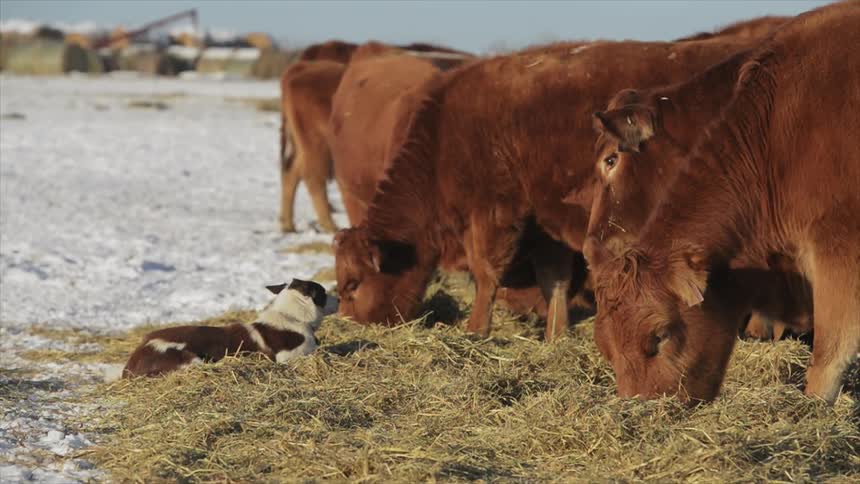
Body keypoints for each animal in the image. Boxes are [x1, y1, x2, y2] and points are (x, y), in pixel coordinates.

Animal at [334, 35, 769, 342]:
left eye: (352, 284)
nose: (350, 323)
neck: (444, 136)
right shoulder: (543, 222)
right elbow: (554, 276)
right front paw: (555, 334)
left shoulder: (494, 212)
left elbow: (486, 273)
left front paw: (475, 330)